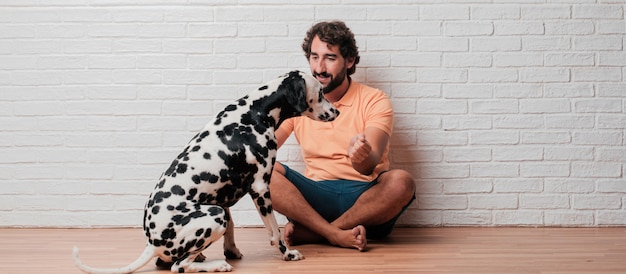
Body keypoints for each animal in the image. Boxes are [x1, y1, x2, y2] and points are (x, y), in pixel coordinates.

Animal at [70, 70, 338, 272]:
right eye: (321, 92)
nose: (336, 112)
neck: (255, 111)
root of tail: (152, 242)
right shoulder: (261, 188)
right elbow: (275, 232)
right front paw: (288, 253)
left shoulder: (226, 197)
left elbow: (232, 228)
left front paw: (231, 250)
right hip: (213, 215)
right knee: (179, 266)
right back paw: (217, 265)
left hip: (215, 209)